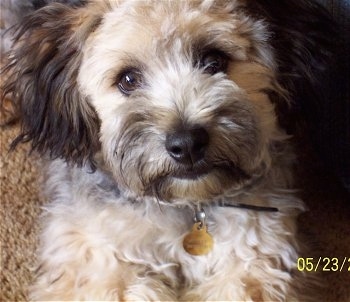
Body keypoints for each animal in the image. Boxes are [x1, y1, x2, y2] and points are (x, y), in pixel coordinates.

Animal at [1, 0, 336, 300]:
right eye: (127, 79)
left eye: (214, 61)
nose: (187, 144)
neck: (186, 206)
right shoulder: (98, 259)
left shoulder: (258, 255)